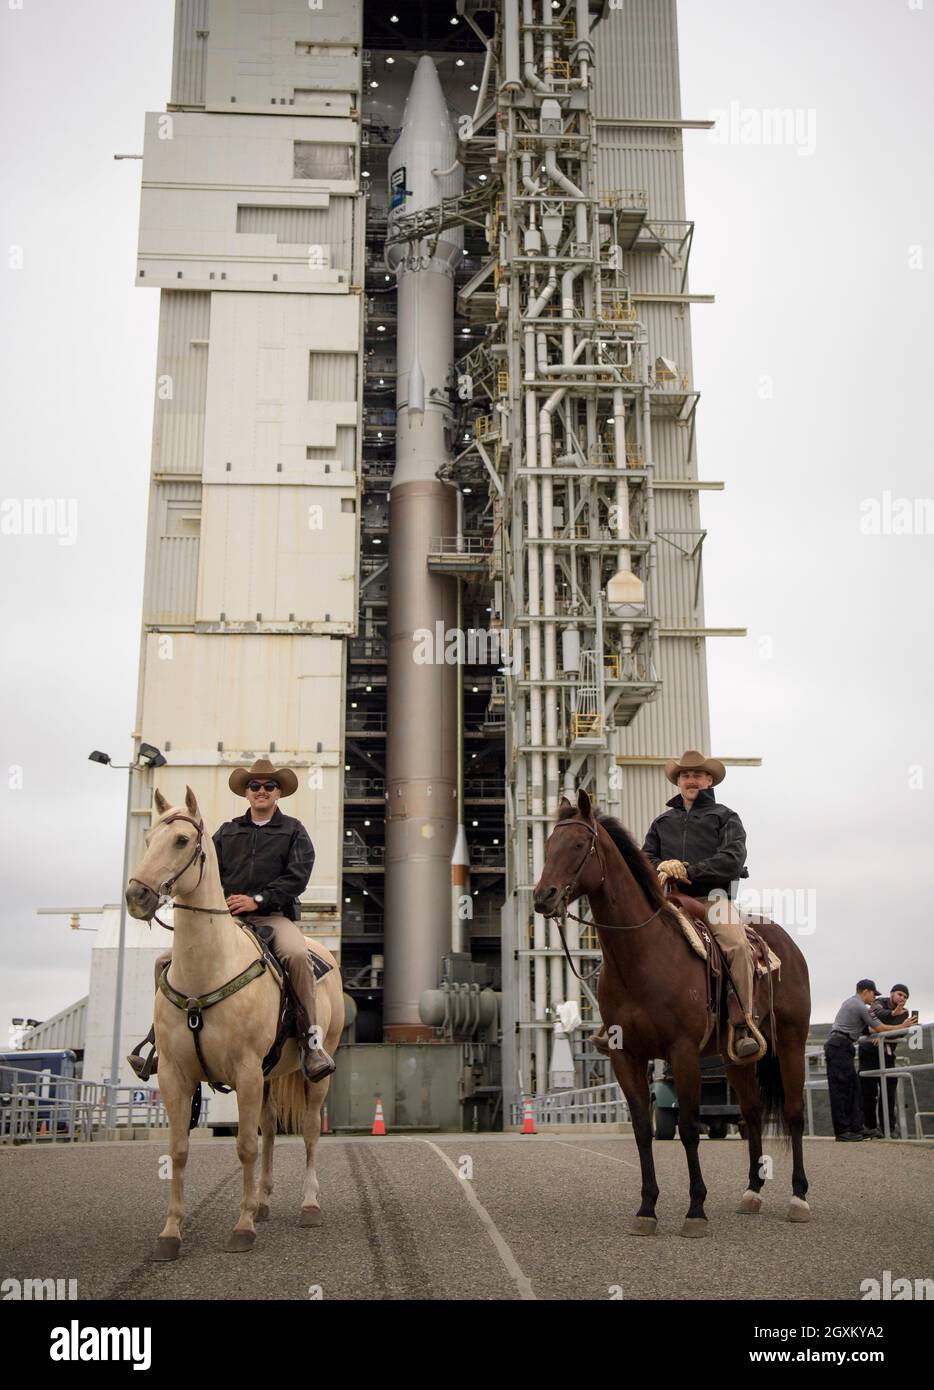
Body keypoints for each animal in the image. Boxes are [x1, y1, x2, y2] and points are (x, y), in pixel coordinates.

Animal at [123, 783, 343, 1262]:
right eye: (147, 840)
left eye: (181, 840)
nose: (136, 897)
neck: (207, 969)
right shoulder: (176, 1075)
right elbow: (179, 1150)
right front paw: (171, 1234)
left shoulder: (243, 1070)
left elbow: (243, 1146)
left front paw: (241, 1229)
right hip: (266, 1077)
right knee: (270, 1130)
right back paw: (262, 1202)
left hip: (313, 1074)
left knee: (308, 1133)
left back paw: (309, 1206)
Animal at [533, 795, 811, 1239]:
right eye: (547, 846)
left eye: (578, 845)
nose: (544, 896)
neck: (642, 955)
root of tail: (786, 944)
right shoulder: (626, 1056)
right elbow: (642, 1131)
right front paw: (647, 1208)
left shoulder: (682, 1053)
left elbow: (690, 1128)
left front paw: (696, 1210)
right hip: (736, 1056)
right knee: (751, 1113)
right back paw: (752, 1192)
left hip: (790, 1040)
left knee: (794, 1113)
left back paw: (799, 1198)